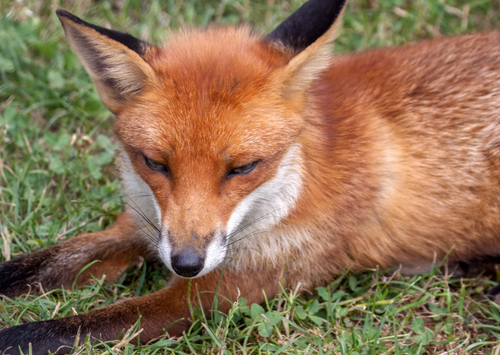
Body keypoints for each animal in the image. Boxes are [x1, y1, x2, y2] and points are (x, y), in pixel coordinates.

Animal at [0, 0, 500, 354]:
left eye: (242, 168)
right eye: (156, 164)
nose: (185, 263)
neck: (291, 188)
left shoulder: (222, 290)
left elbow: (61, 331)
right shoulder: (143, 228)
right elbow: (33, 268)